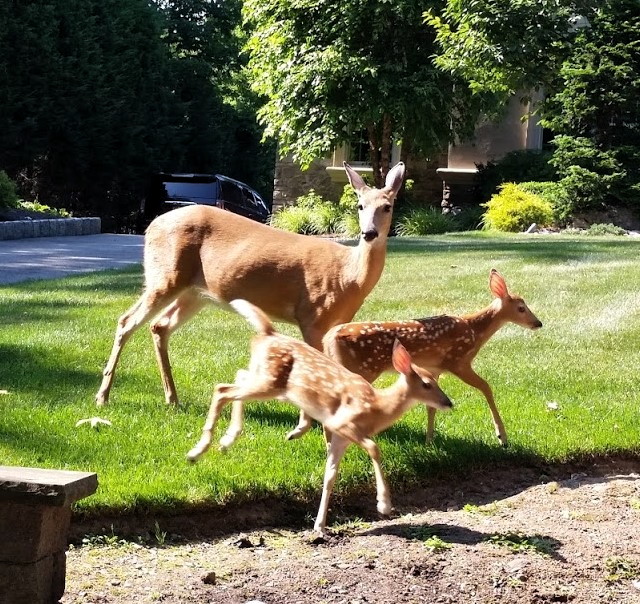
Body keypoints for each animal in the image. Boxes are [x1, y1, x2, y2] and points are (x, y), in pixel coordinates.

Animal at [95, 162, 404, 430]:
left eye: (387, 206)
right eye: (360, 206)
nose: (368, 233)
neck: (348, 276)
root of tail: (151, 226)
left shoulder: (336, 323)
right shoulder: (311, 316)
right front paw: (311, 422)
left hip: (196, 292)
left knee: (159, 326)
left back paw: (172, 398)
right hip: (165, 276)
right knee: (127, 321)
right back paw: (103, 397)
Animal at [188, 300, 452, 532]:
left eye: (435, 380)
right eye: (427, 384)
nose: (448, 403)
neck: (377, 407)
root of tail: (268, 332)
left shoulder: (341, 437)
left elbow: (330, 476)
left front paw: (319, 525)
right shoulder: (343, 423)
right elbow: (374, 448)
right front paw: (384, 504)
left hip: (267, 381)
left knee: (237, 376)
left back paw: (226, 441)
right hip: (269, 383)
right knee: (221, 389)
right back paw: (197, 451)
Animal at [320, 272, 540, 446]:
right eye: (521, 308)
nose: (538, 323)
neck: (474, 331)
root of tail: (328, 338)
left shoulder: (434, 370)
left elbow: (431, 405)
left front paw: (429, 441)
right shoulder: (458, 361)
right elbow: (486, 387)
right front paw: (502, 436)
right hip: (362, 368)